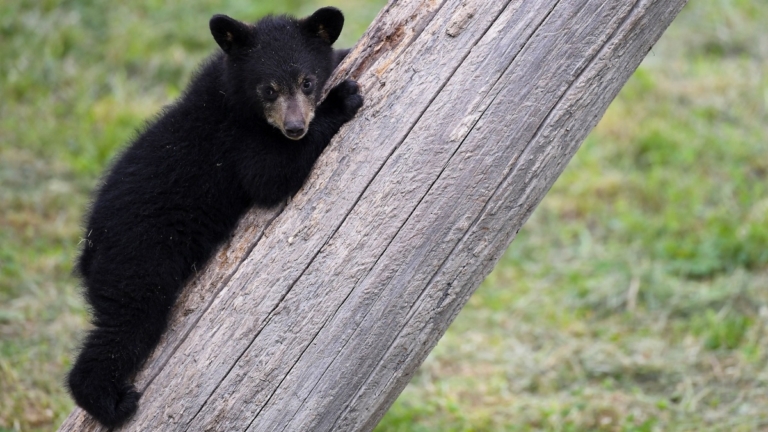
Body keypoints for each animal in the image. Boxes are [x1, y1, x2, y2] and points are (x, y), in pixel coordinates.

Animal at [66, 7, 363, 428]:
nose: (294, 127)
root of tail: (89, 249)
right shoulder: (237, 145)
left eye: (307, 82)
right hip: (138, 266)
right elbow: (270, 176)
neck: (234, 99)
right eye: (268, 89)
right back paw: (111, 402)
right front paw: (341, 99)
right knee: (127, 325)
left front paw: (343, 54)